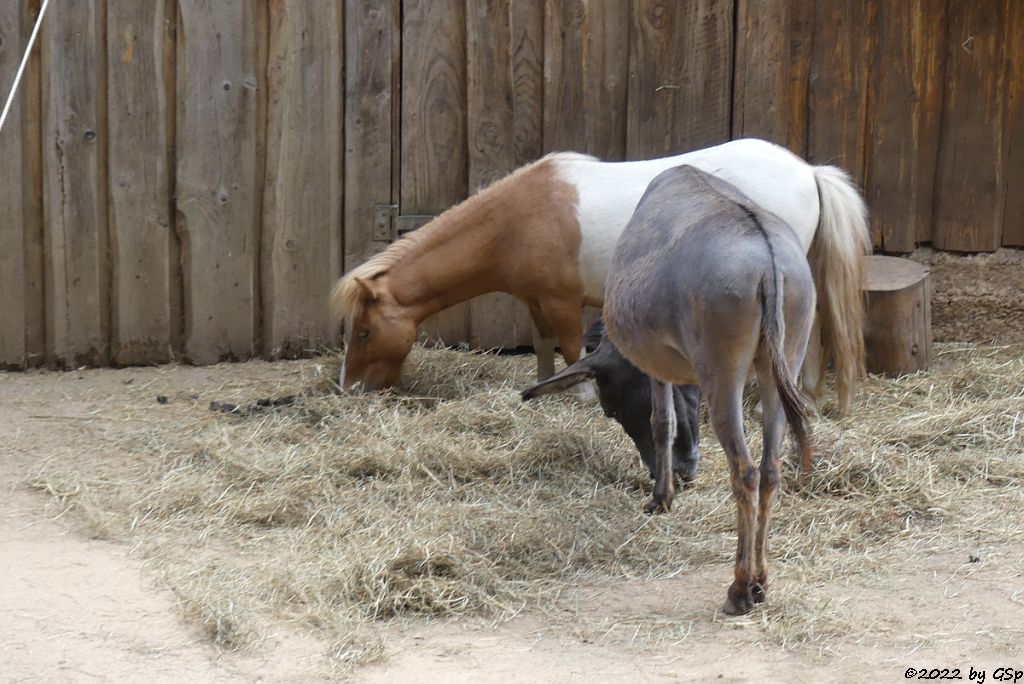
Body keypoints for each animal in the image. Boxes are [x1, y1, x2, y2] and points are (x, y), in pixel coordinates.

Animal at [331, 138, 868, 411]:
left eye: (364, 331)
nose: (349, 388)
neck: (519, 218)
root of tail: (808, 171)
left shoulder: (564, 301)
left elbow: (572, 348)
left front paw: (583, 395)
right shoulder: (536, 301)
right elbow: (544, 346)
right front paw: (543, 390)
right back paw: (811, 395)